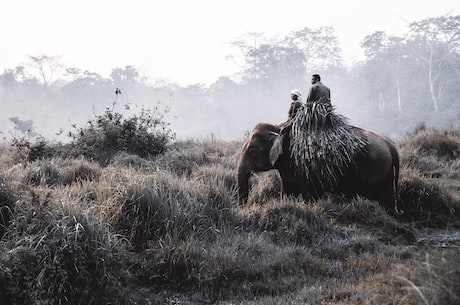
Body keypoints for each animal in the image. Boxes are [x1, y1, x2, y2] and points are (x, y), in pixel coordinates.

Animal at [237, 122, 398, 213]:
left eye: (252, 150)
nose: (243, 209)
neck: (281, 129)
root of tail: (392, 147)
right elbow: (288, 191)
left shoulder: (309, 166)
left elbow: (311, 194)